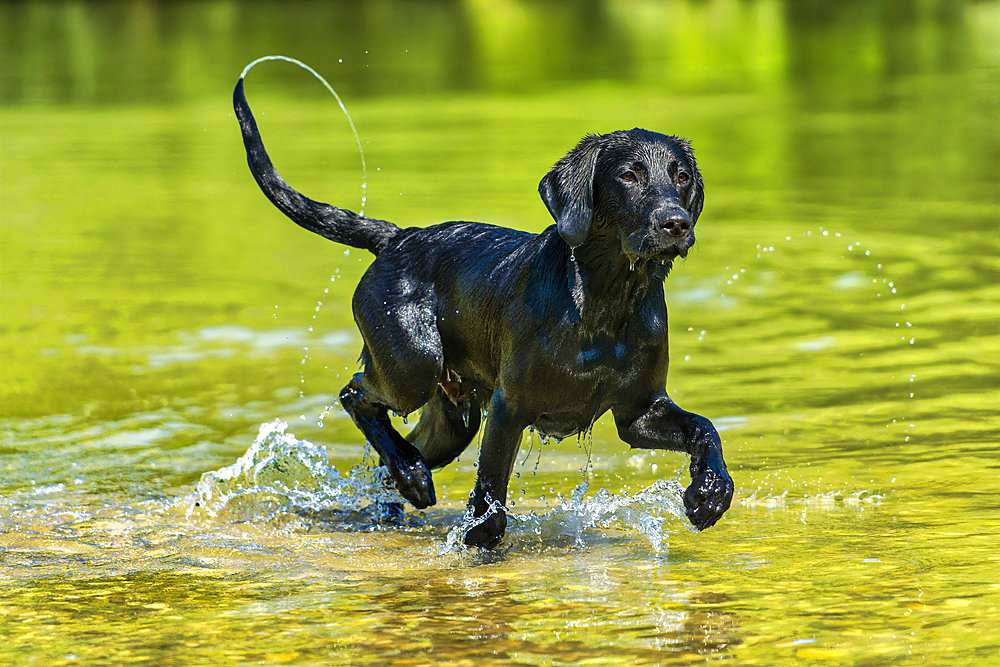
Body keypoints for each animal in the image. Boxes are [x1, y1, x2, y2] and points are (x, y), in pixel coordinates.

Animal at [234, 78, 736, 548]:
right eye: (629, 175)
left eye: (682, 176)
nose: (676, 223)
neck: (605, 305)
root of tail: (397, 237)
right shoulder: (508, 407)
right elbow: (491, 493)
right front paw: (478, 540)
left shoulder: (640, 413)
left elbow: (705, 428)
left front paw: (709, 493)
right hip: (414, 364)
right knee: (354, 394)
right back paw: (410, 475)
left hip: (453, 420)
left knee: (390, 455)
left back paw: (404, 484)